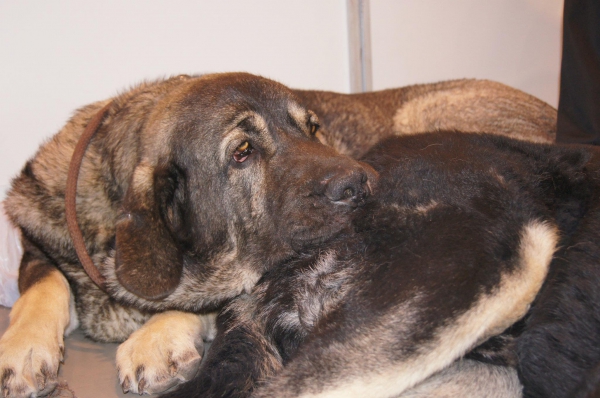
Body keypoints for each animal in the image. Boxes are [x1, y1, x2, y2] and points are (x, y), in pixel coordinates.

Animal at [0, 73, 556, 396]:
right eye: (242, 152)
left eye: (312, 128)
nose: (365, 181)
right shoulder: (37, 246)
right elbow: (41, 289)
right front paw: (21, 351)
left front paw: (157, 337)